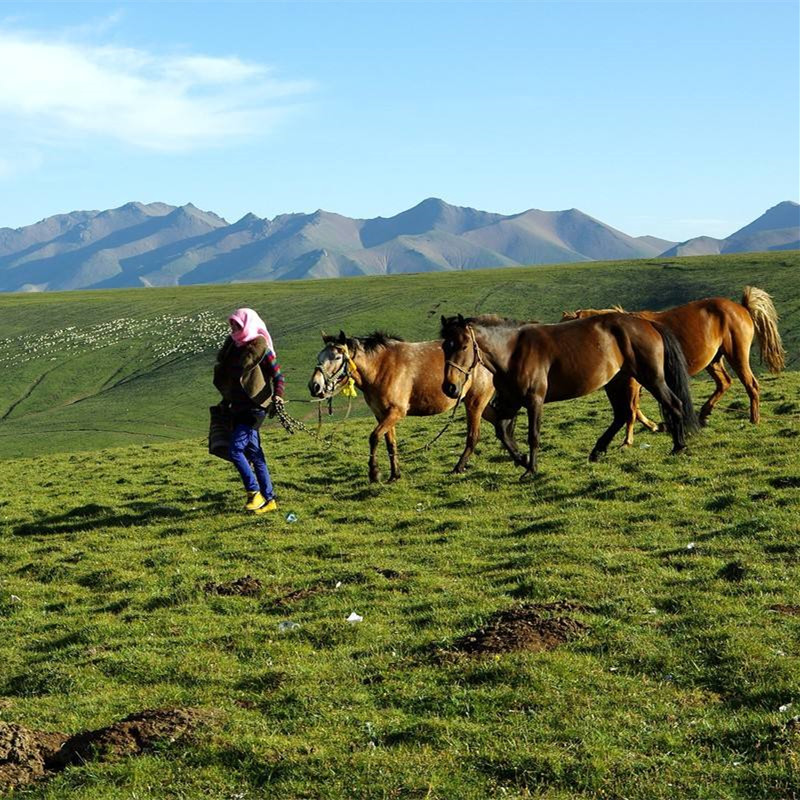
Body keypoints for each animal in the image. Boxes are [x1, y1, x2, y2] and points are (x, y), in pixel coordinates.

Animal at [310, 332, 496, 482]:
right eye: (319, 357)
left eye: (337, 358)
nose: (314, 386)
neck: (380, 367)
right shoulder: (382, 414)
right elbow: (390, 443)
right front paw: (395, 475)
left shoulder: (396, 412)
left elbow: (374, 437)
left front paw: (374, 473)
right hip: (482, 405)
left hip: (474, 403)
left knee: (473, 436)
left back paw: (458, 467)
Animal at [440, 310, 696, 476]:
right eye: (444, 346)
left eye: (464, 345)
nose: (450, 387)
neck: (513, 352)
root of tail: (648, 324)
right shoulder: (511, 400)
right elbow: (502, 432)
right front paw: (522, 460)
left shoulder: (534, 400)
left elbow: (533, 435)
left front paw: (531, 469)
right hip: (616, 382)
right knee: (622, 414)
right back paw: (597, 451)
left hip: (651, 378)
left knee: (673, 404)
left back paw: (678, 446)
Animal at [564, 286, 788, 444]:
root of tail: (742, 307)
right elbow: (635, 408)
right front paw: (656, 426)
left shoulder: (634, 382)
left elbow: (631, 408)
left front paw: (630, 439)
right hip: (714, 360)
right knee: (724, 383)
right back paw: (704, 415)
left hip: (737, 355)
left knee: (751, 385)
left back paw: (753, 419)